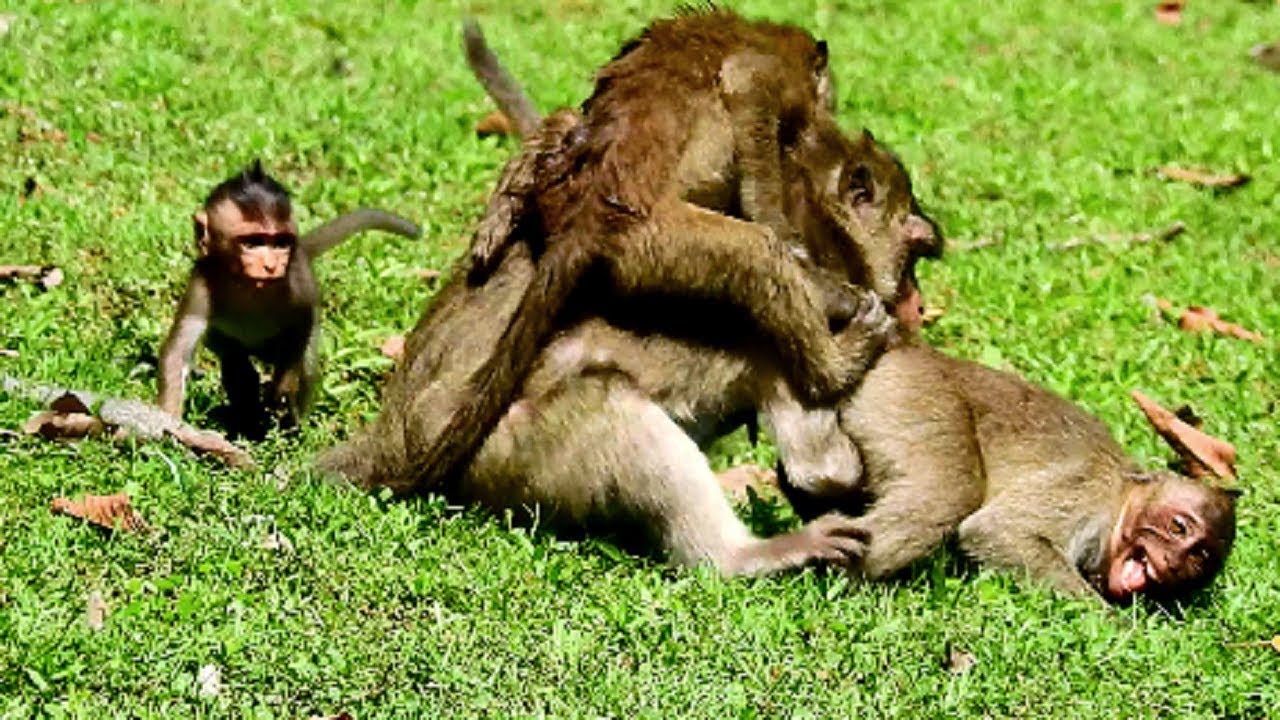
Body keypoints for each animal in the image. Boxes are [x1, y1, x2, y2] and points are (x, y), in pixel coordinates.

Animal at [155, 160, 421, 433]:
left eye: (281, 243)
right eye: (253, 242)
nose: (272, 265)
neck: (246, 284)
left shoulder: (294, 282)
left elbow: (302, 323)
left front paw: (283, 389)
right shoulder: (201, 284)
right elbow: (178, 351)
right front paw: (168, 422)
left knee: (305, 365)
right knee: (236, 364)